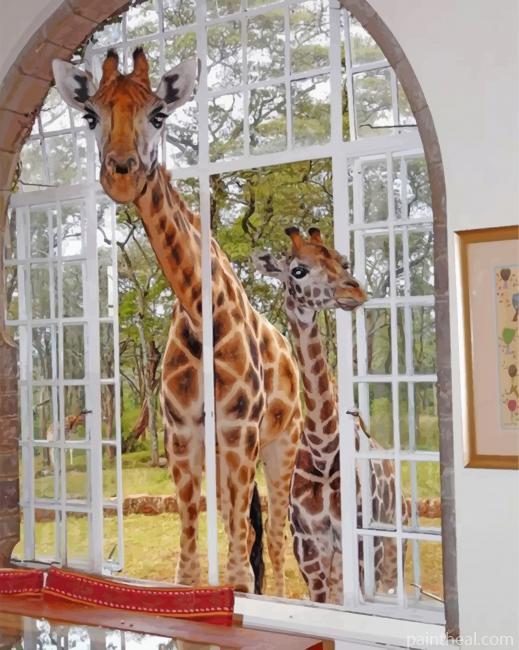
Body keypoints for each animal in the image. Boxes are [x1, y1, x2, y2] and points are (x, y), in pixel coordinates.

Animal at [52, 49, 302, 595]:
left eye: (159, 115)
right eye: (91, 116)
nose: (121, 174)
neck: (198, 308)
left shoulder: (239, 430)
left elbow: (238, 571)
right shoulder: (183, 436)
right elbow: (189, 568)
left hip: (282, 443)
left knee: (274, 539)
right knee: (252, 533)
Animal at [254, 226, 406, 604]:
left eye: (343, 261)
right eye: (298, 270)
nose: (354, 290)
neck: (323, 454)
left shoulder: (362, 541)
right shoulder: (309, 546)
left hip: (390, 539)